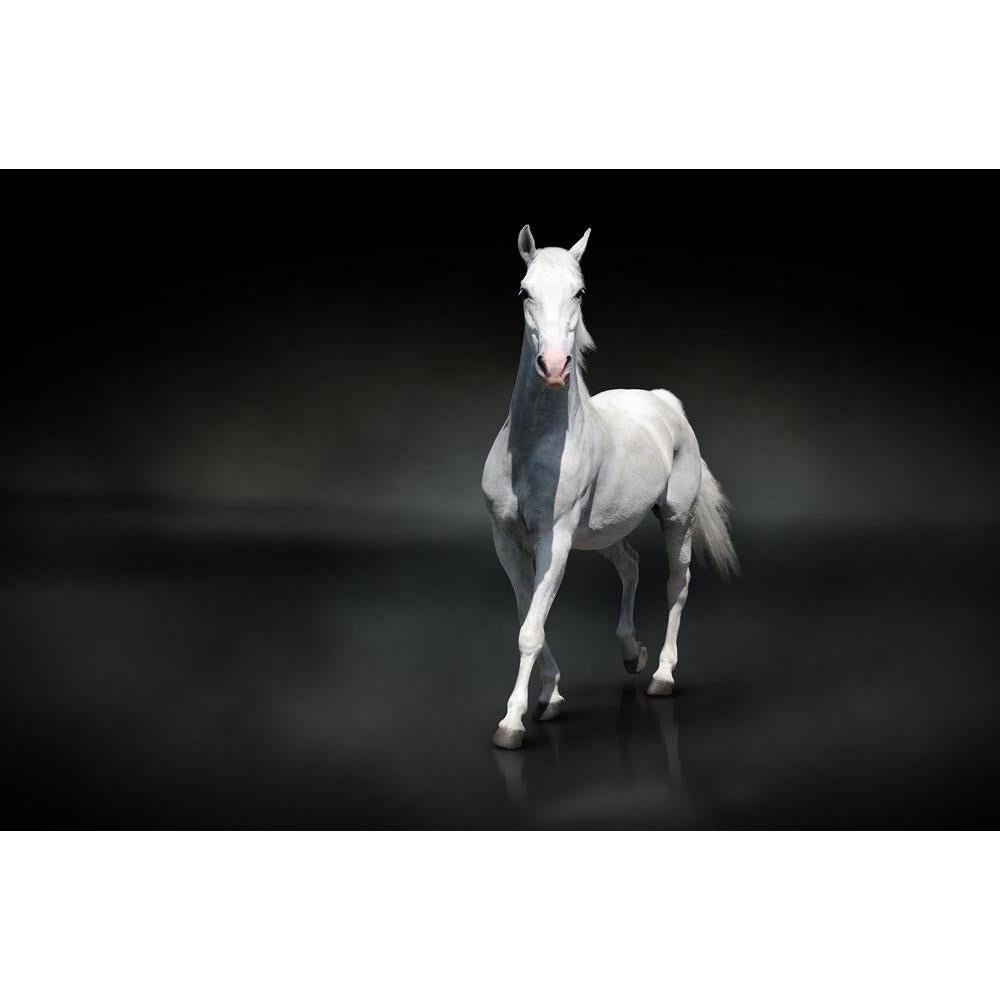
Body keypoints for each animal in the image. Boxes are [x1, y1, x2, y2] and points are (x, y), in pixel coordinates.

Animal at [482, 225, 738, 750]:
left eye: (579, 292)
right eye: (524, 291)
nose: (554, 366)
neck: (532, 447)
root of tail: (663, 402)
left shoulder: (553, 540)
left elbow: (531, 630)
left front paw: (512, 722)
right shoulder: (508, 541)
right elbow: (530, 617)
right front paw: (551, 698)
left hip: (676, 519)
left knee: (677, 584)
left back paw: (661, 674)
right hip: (600, 534)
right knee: (631, 565)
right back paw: (631, 653)